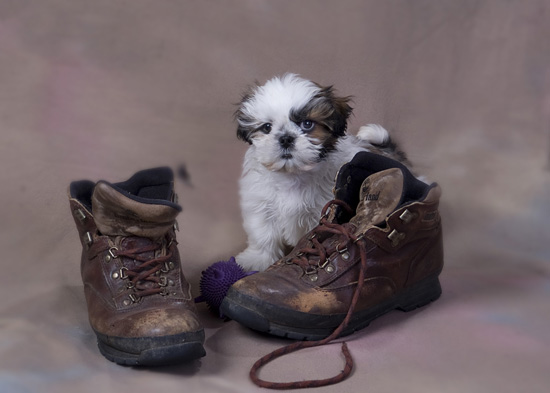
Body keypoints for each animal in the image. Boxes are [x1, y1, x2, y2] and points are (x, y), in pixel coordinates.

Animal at [234, 72, 410, 270]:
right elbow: (263, 234)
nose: (286, 138)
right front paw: (257, 260)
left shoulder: (323, 210)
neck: (293, 174)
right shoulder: (261, 204)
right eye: (266, 127)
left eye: (307, 124)